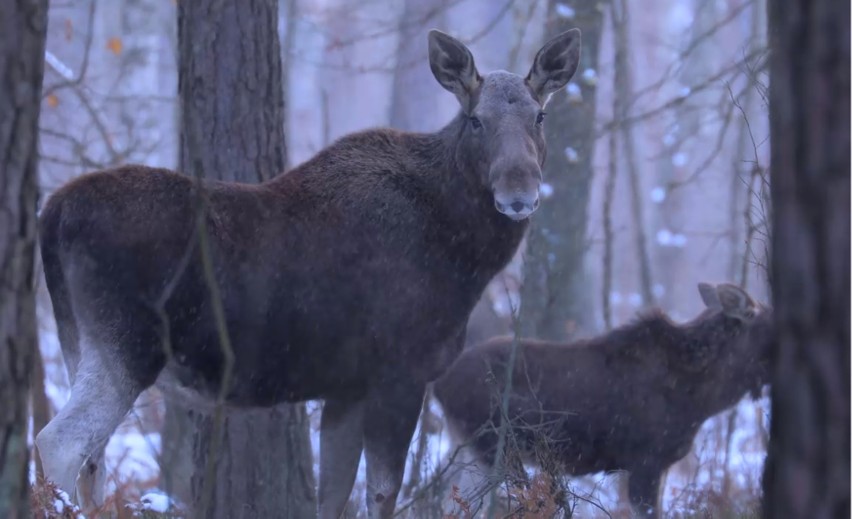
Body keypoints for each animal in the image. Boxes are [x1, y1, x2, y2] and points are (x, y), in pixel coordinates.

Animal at [33, 29, 580, 519]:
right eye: (475, 120)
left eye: (539, 115)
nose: (518, 192)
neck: (465, 256)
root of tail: (51, 213)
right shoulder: (400, 372)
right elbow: (382, 494)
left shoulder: (346, 389)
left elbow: (333, 495)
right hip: (126, 347)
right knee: (58, 444)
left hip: (77, 342)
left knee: (92, 464)